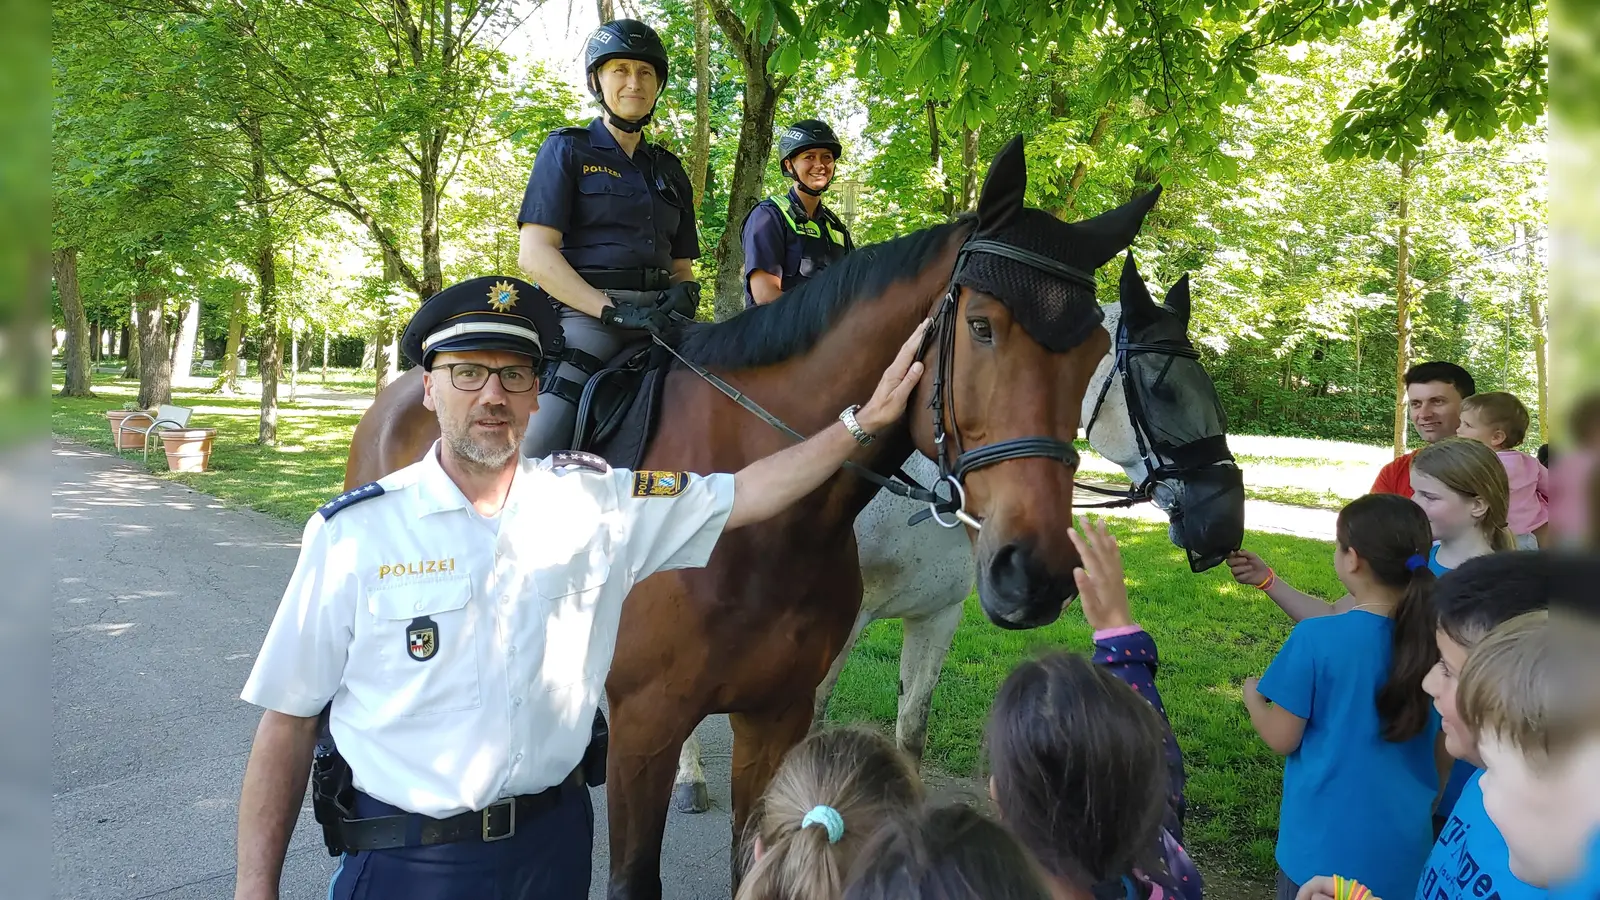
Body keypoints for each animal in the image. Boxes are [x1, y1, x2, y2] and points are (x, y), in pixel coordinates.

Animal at [344, 136, 1164, 890]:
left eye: (1092, 353)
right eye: (983, 326)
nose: (1036, 571)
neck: (763, 525)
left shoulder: (778, 716)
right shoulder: (644, 727)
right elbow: (634, 874)